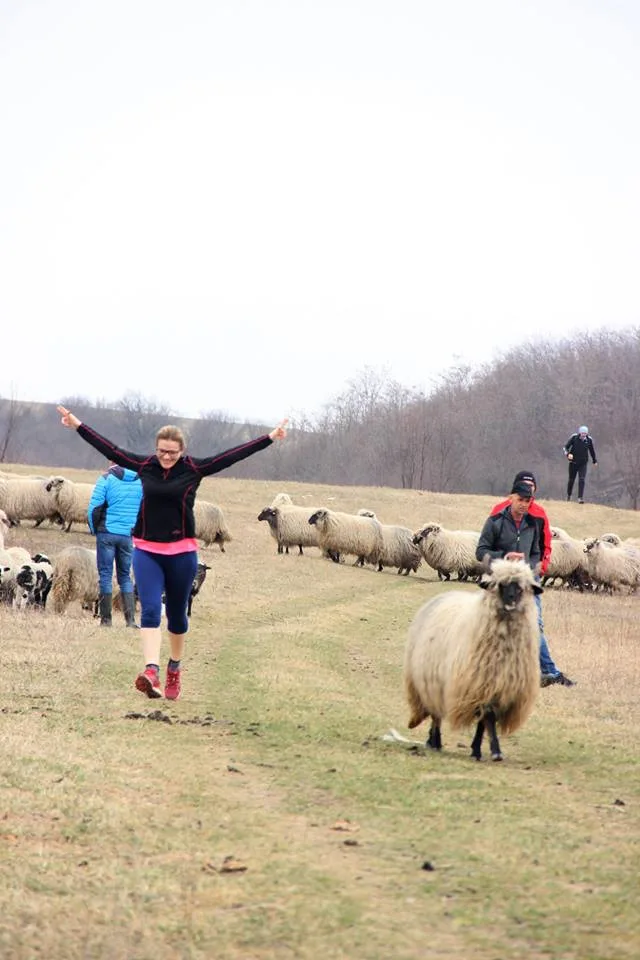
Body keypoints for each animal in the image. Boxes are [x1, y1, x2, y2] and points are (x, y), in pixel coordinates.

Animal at [403, 559, 541, 762]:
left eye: (521, 588)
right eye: (500, 585)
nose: (511, 601)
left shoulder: (496, 686)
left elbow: (484, 722)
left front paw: (477, 749)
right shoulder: (479, 683)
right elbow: (488, 717)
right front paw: (495, 751)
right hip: (432, 680)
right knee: (436, 714)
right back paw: (435, 742)